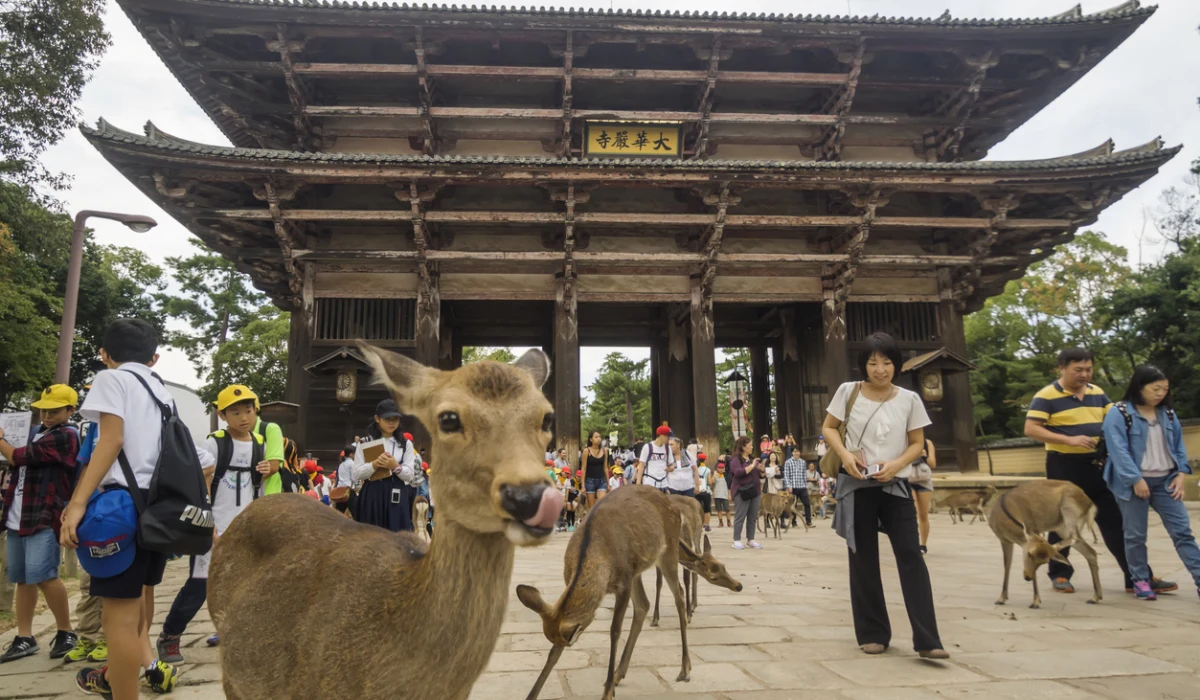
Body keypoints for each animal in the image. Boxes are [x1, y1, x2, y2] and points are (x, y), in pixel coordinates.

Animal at [516, 485, 743, 700]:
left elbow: (615, 631)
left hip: (667, 551)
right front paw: (531, 694)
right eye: (715, 574)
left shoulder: (624, 582)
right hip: (640, 569)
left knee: (677, 594)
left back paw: (684, 669)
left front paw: (607, 692)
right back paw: (619, 674)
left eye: (723, 568)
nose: (738, 586)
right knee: (644, 605)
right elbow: (553, 653)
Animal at [989, 480, 1102, 609]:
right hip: (1062, 528)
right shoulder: (1004, 540)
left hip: (1070, 511)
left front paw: (1035, 602)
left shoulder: (1034, 529)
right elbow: (1007, 566)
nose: (1027, 577)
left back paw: (1055, 546)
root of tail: (1091, 503)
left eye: (1045, 562)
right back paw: (1095, 597)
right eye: (1029, 554)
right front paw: (1001, 599)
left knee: (1075, 536)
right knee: (1090, 552)